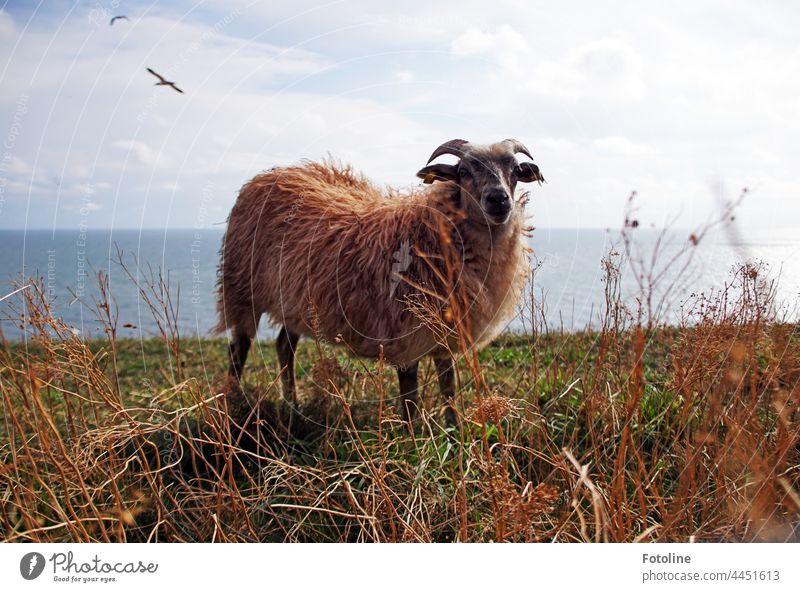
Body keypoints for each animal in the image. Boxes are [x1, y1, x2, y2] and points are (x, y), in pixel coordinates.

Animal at [216, 138, 548, 426]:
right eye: (464, 171)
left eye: (515, 171)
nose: (498, 200)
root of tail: (273, 175)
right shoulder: (404, 333)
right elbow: (410, 397)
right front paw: (415, 441)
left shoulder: (444, 331)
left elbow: (448, 385)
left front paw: (456, 432)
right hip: (242, 288)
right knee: (239, 348)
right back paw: (234, 403)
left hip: (295, 302)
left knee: (285, 345)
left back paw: (292, 405)